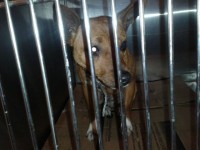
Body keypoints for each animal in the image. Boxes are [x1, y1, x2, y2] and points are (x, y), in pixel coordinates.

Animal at [58, 0, 138, 141]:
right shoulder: (88, 87)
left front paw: (126, 123)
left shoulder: (131, 86)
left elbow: (126, 106)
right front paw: (93, 126)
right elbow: (92, 109)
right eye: (93, 49)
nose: (125, 78)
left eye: (123, 45)